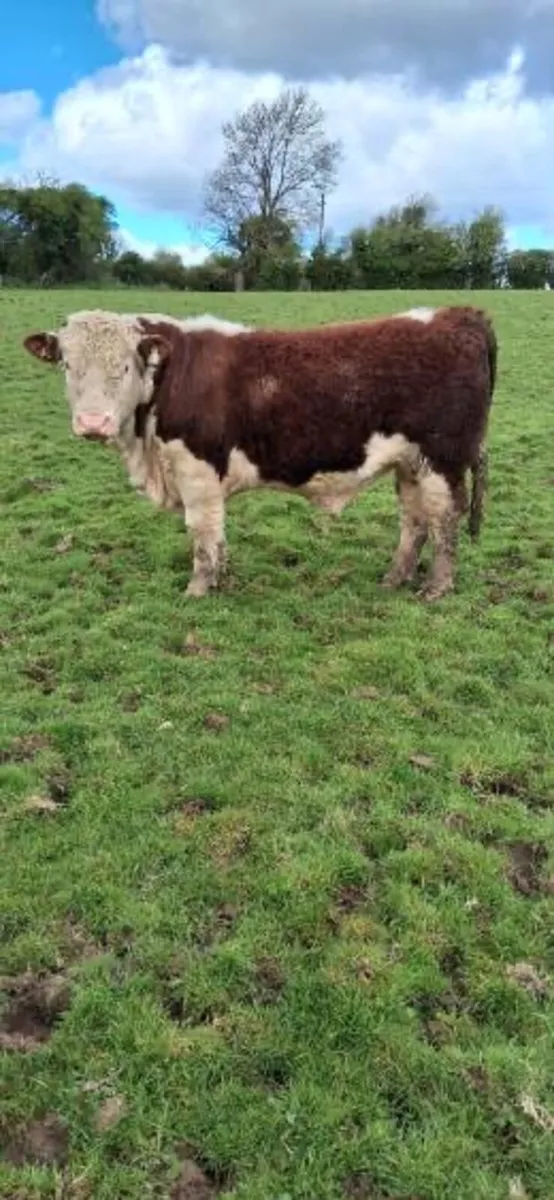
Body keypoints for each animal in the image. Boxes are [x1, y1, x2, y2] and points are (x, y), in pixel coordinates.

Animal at [23, 305, 497, 601]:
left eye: (124, 367)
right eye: (67, 365)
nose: (92, 423)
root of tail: (460, 314)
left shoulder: (197, 471)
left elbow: (203, 532)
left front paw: (199, 588)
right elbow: (216, 536)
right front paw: (221, 578)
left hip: (443, 459)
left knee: (444, 519)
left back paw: (436, 588)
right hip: (411, 463)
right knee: (414, 520)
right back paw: (394, 578)